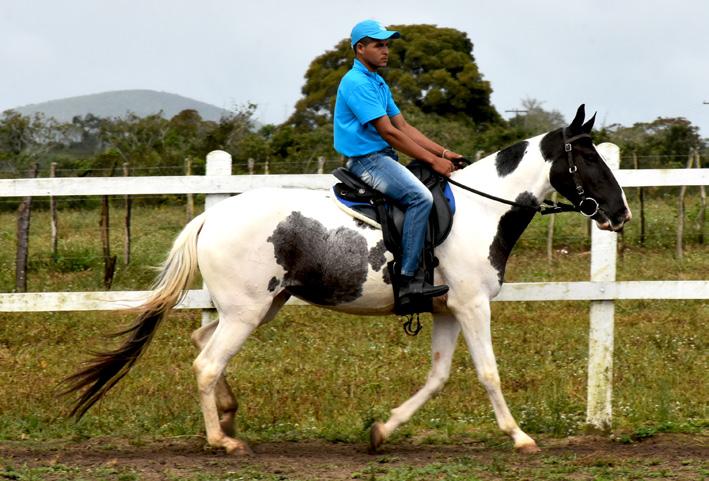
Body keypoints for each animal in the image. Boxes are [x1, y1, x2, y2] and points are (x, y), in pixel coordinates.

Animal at [63, 104, 632, 454]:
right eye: (587, 159)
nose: (620, 214)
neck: (479, 211)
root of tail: (212, 216)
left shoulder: (448, 309)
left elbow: (438, 377)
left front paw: (381, 430)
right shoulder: (473, 306)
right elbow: (489, 373)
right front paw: (521, 439)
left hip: (257, 307)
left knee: (201, 341)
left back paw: (228, 416)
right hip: (247, 311)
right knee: (206, 363)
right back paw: (222, 441)